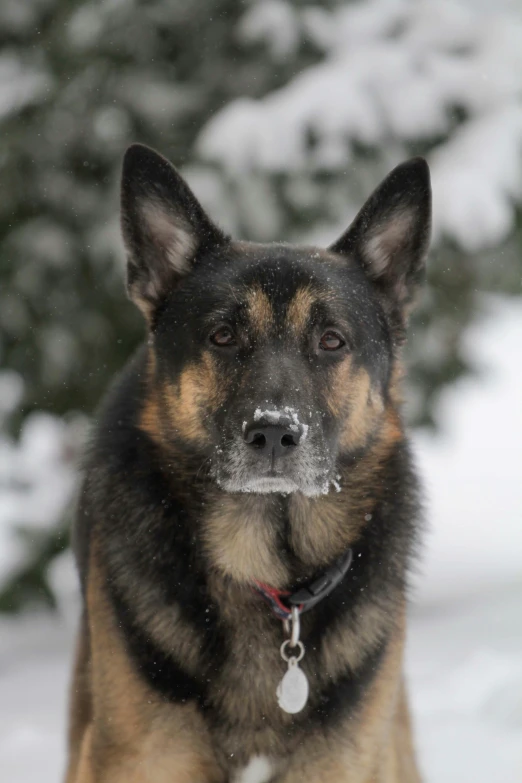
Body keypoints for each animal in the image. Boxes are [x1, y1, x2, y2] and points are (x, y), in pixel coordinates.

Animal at [66, 142, 430, 783]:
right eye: (222, 335)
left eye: (332, 340)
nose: (274, 433)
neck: (265, 567)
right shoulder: (136, 757)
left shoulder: (343, 758)